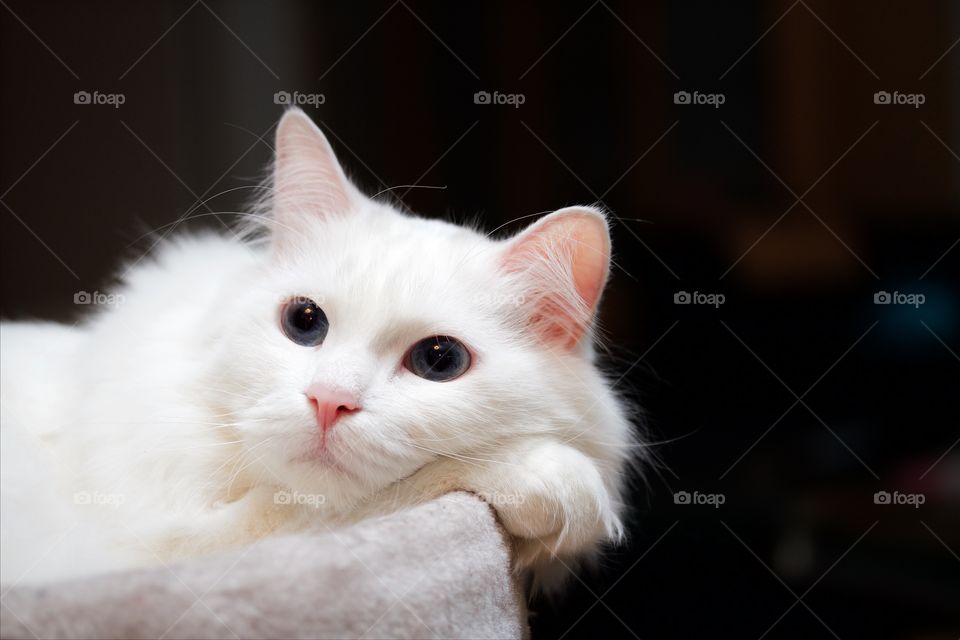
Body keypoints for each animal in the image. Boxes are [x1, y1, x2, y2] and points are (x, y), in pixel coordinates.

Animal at [3, 107, 640, 588]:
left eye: (439, 360)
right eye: (304, 321)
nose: (329, 401)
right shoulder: (162, 549)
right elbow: (407, 487)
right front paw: (556, 482)